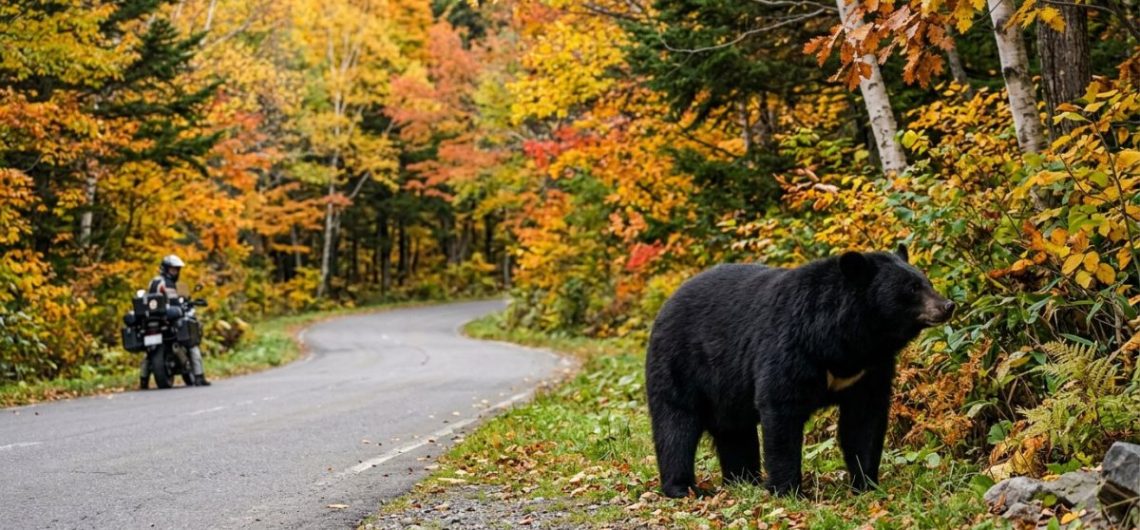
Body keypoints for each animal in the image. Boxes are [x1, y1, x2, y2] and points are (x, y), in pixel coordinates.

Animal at [645, 245, 954, 498]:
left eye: (927, 281)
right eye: (911, 288)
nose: (947, 305)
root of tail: (667, 303)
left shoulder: (869, 369)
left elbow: (864, 420)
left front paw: (866, 485)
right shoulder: (792, 346)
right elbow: (782, 409)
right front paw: (789, 490)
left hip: (727, 389)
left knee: (734, 431)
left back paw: (744, 480)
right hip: (680, 364)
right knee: (676, 424)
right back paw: (683, 487)